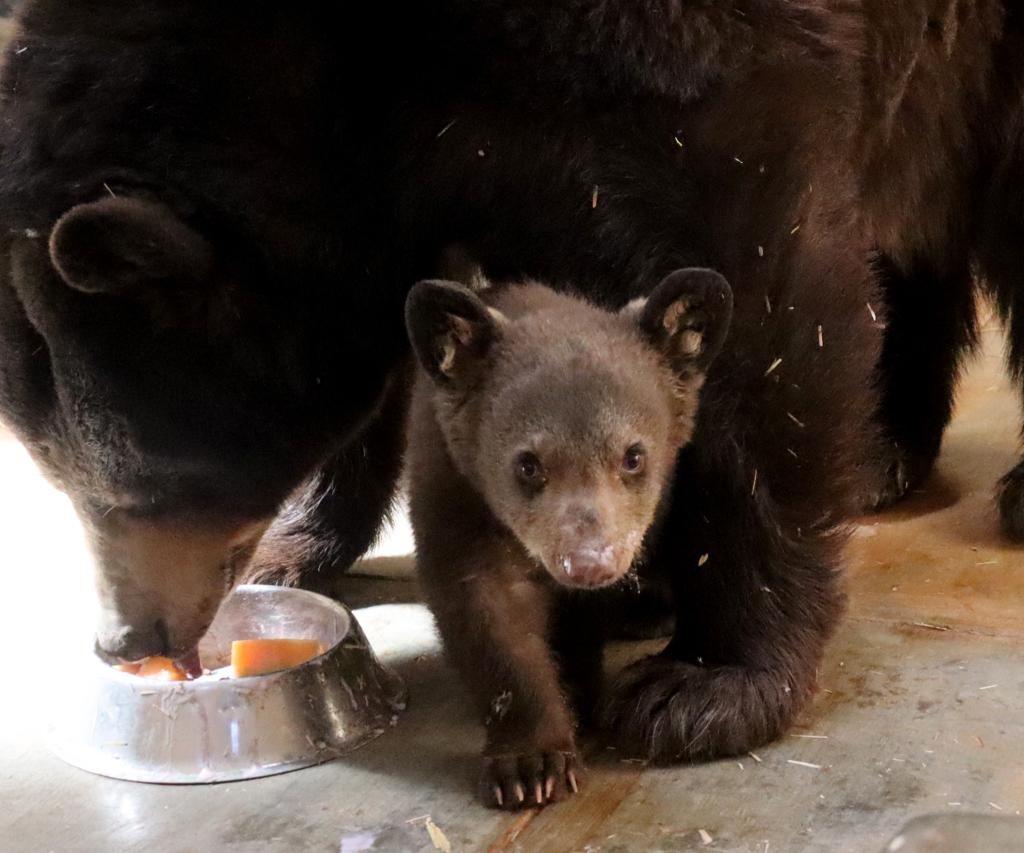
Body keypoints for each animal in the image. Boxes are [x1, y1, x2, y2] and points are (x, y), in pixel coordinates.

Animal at [0, 0, 1019, 765]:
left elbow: (763, 306)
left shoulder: (698, 59)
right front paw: (301, 538)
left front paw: (706, 681)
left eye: (129, 490)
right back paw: (889, 448)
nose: (126, 640)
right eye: (58, 476)